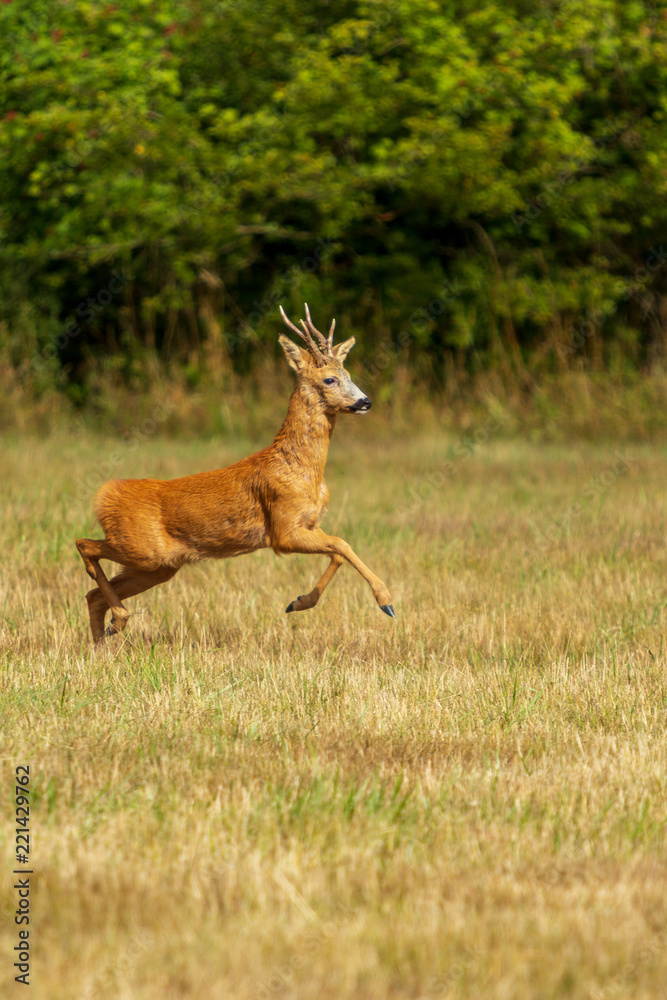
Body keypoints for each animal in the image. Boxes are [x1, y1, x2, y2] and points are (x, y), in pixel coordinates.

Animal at [75, 302, 394, 640]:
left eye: (348, 374)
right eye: (330, 379)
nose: (365, 401)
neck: (303, 469)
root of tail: (105, 497)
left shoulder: (308, 524)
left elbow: (337, 551)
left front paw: (298, 602)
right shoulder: (282, 530)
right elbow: (342, 544)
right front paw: (386, 602)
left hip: (158, 566)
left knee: (92, 595)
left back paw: (107, 638)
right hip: (143, 548)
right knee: (85, 545)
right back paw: (119, 618)